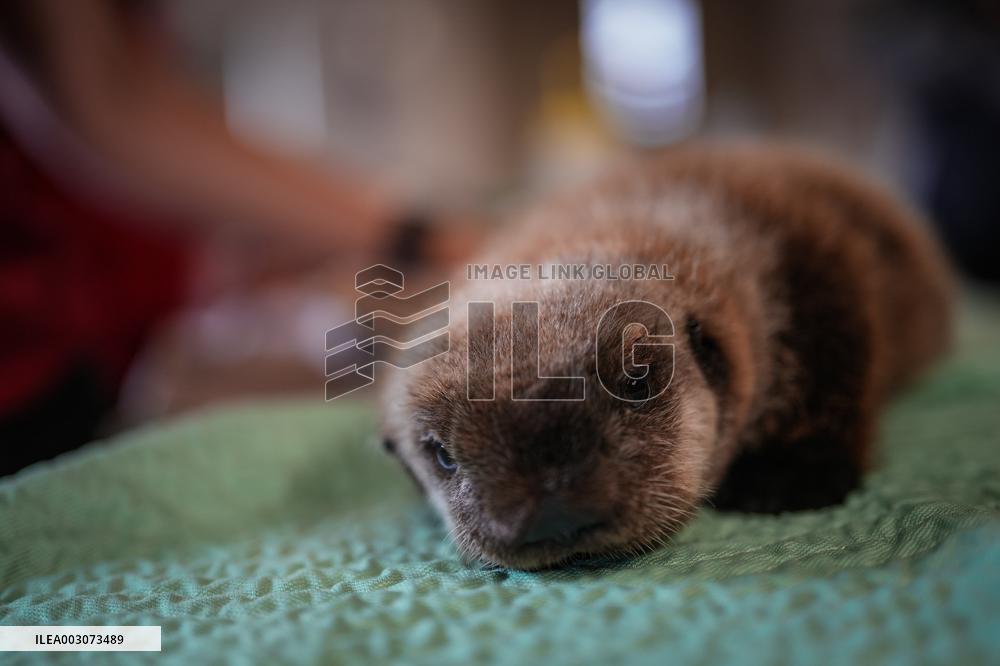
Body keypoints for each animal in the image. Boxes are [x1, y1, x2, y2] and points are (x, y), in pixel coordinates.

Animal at [380, 144, 954, 570]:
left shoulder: (812, 262)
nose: (551, 508)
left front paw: (788, 475)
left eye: (637, 381)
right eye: (443, 456)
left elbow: (831, 357)